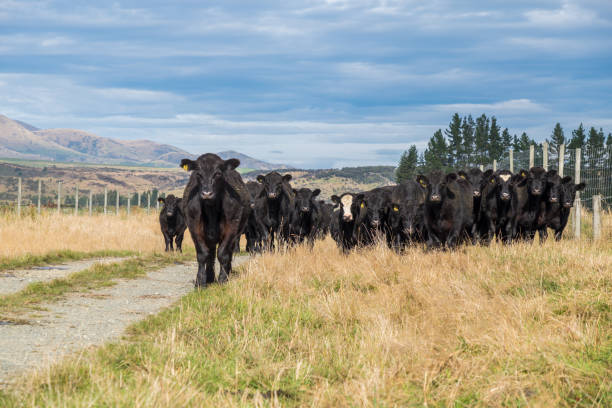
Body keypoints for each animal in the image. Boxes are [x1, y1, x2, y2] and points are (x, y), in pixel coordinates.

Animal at [179, 153, 251, 286]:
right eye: (198, 174)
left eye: (218, 173)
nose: (207, 193)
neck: (211, 209)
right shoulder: (194, 227)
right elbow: (203, 254)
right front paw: (200, 282)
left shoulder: (231, 228)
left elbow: (223, 253)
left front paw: (223, 279)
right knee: (211, 255)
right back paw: (210, 277)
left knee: (228, 253)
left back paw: (227, 273)